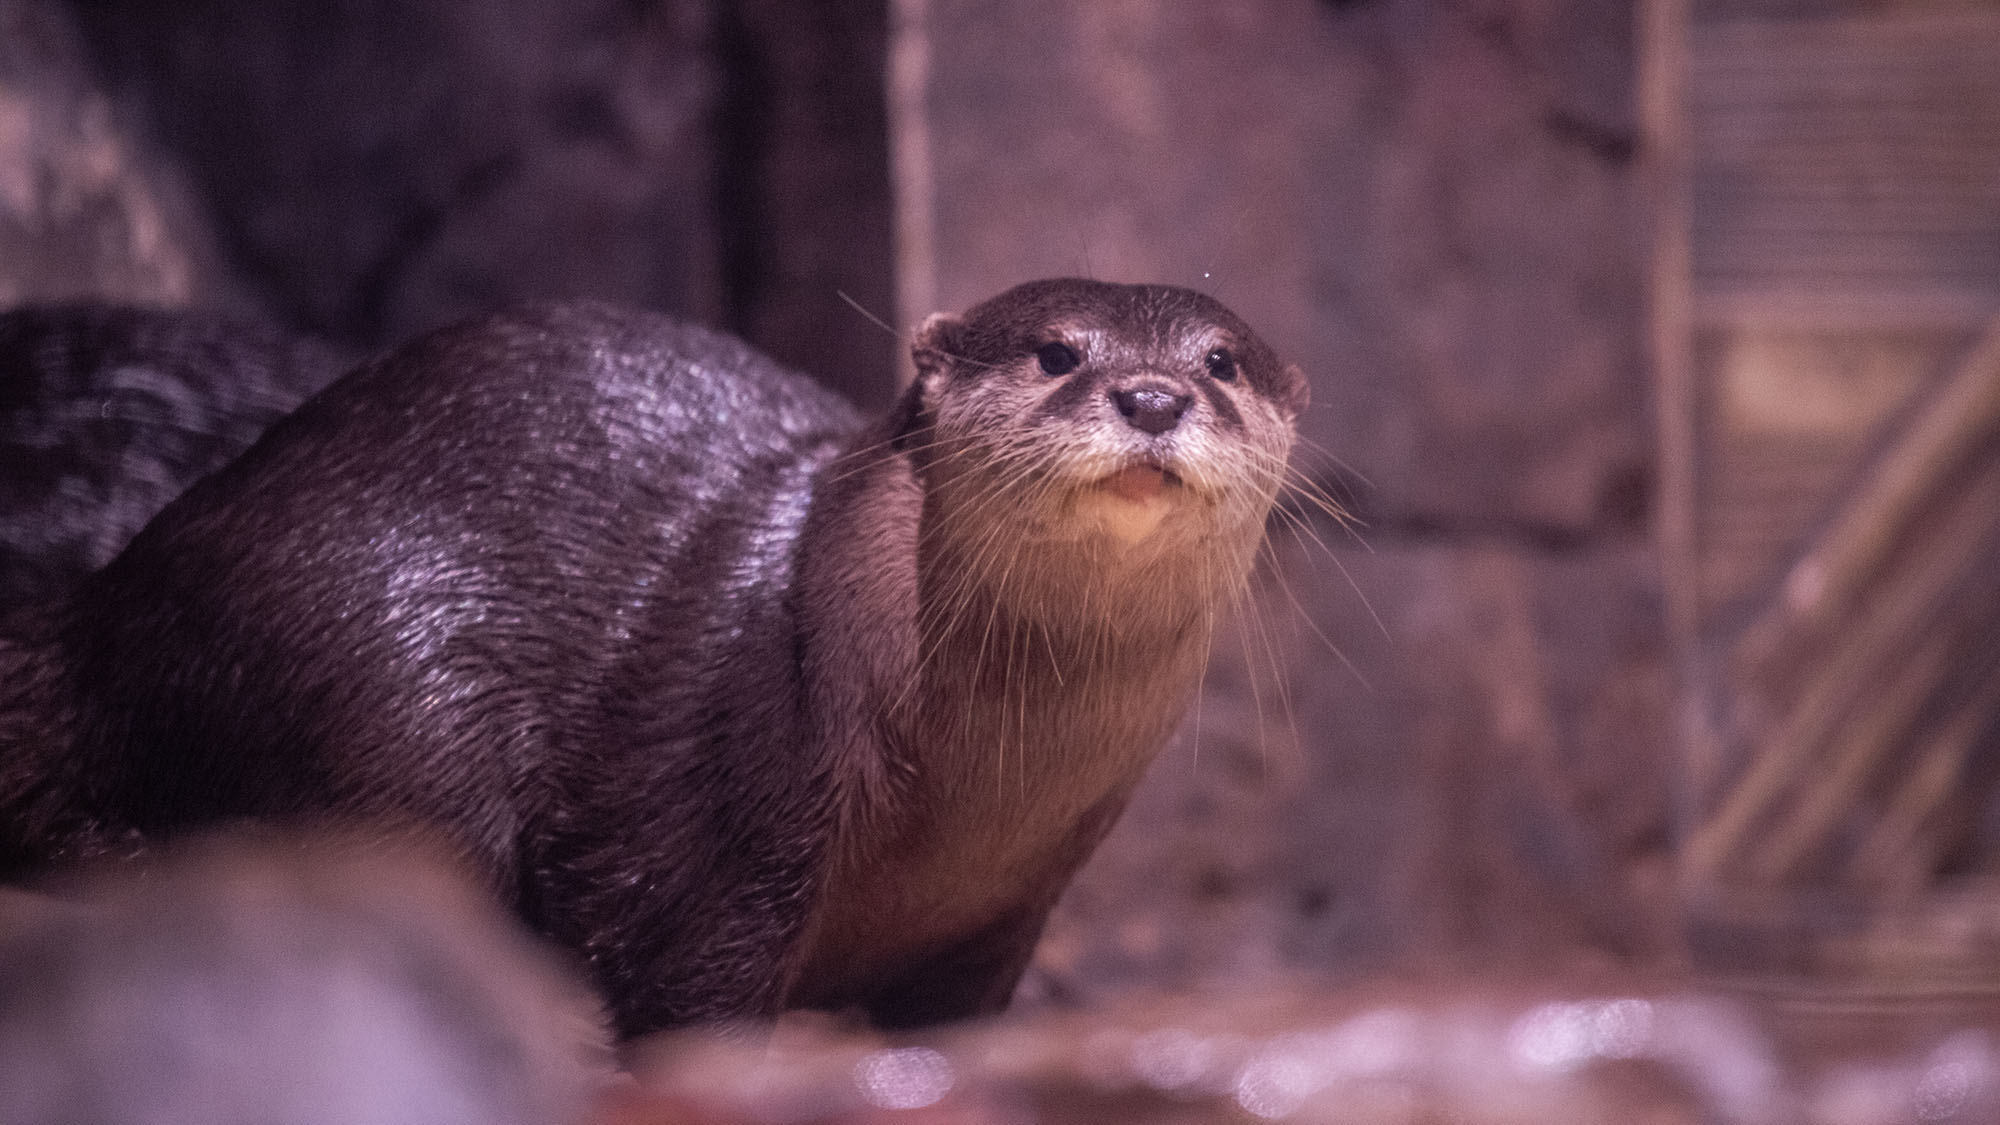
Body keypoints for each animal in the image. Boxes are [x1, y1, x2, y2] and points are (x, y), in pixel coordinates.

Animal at [0, 279, 1306, 1037]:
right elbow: (683, 992)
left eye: (1220, 363)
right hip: (368, 681)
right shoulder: (731, 832)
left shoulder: (1003, 917)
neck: (971, 799)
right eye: (1053, 353)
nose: (1150, 397)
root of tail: (112, 596)